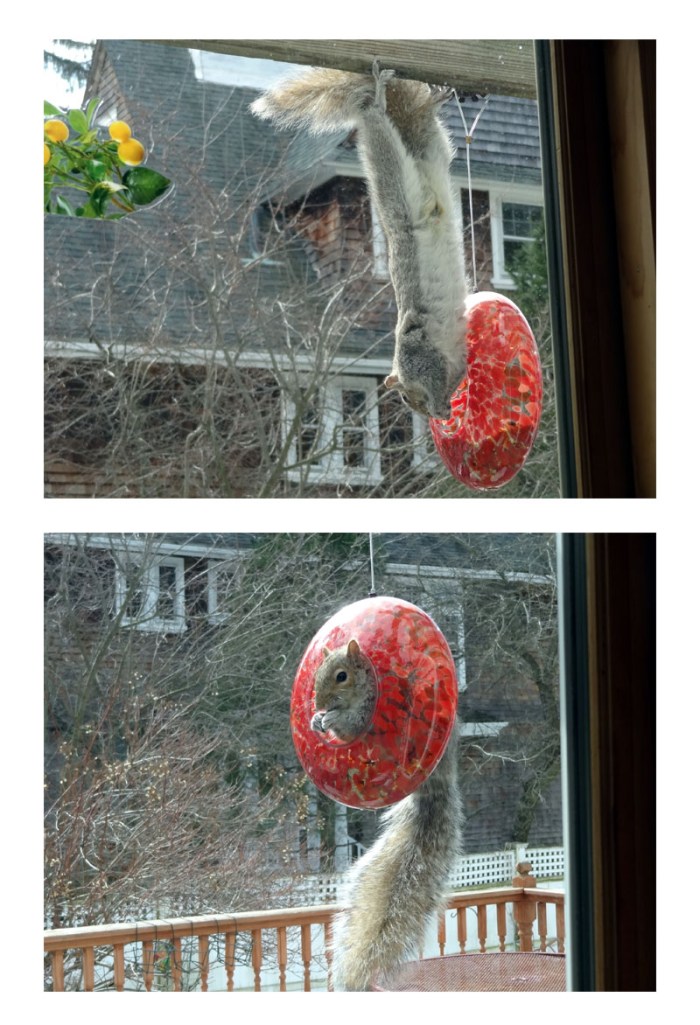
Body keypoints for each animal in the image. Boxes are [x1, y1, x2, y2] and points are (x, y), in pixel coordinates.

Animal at [250, 62, 470, 420]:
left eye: (407, 396)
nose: (427, 413)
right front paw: (448, 405)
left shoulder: (420, 354)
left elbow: (435, 373)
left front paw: (440, 406)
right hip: (430, 155)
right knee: (425, 139)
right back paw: (430, 104)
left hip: (396, 187)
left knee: (383, 139)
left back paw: (378, 102)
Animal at [311, 638, 462, 991]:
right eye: (318, 672)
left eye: (341, 676)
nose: (319, 704)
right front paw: (316, 720)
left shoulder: (366, 713)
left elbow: (351, 726)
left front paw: (330, 721)